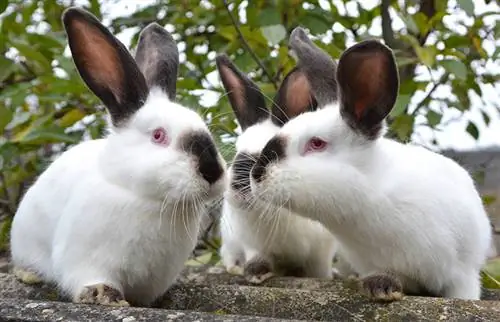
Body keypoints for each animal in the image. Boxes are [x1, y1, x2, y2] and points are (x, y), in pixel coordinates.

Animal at [10, 7, 227, 306]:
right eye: (158, 135)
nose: (212, 172)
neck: (146, 198)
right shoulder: (84, 258)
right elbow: (91, 278)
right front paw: (103, 295)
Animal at [216, 49, 338, 284]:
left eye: (270, 150)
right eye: (236, 151)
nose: (238, 185)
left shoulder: (321, 250)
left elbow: (318, 269)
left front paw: (325, 278)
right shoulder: (252, 244)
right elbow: (257, 257)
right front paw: (256, 274)